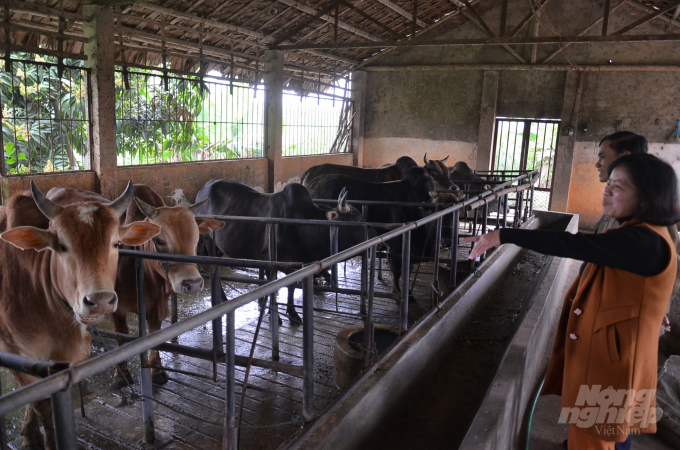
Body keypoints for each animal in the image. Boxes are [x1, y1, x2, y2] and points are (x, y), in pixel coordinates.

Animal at [0, 181, 161, 448]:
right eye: (62, 246)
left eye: (117, 244)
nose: (100, 301)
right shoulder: (13, 350)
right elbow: (41, 404)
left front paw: (31, 434)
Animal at [306, 167, 462, 290]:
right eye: (436, 210)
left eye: (456, 213)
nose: (446, 240)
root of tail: (313, 183)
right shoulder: (397, 247)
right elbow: (398, 272)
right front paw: (399, 292)